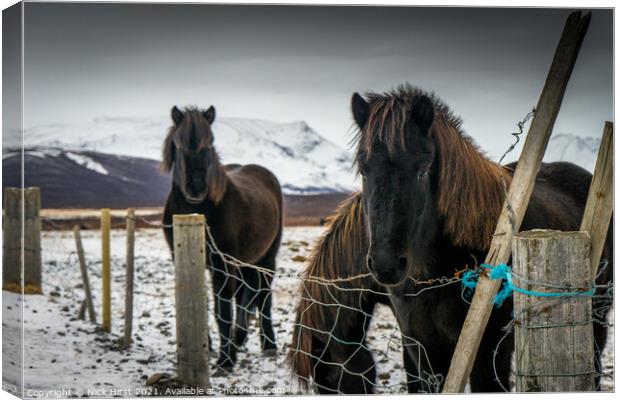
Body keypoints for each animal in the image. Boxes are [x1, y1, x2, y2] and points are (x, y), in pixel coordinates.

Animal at [162, 105, 284, 372]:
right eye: (179, 143)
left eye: (210, 143)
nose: (197, 188)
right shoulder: (182, 259)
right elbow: (197, 299)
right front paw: (205, 347)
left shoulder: (223, 264)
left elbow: (222, 310)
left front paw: (225, 360)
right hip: (246, 262)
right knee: (246, 297)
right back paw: (239, 340)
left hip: (266, 258)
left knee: (264, 297)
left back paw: (268, 345)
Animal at [352, 84, 612, 390]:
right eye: (363, 170)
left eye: (422, 170)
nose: (386, 264)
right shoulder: (422, 346)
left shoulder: (488, 351)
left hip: (597, 318)